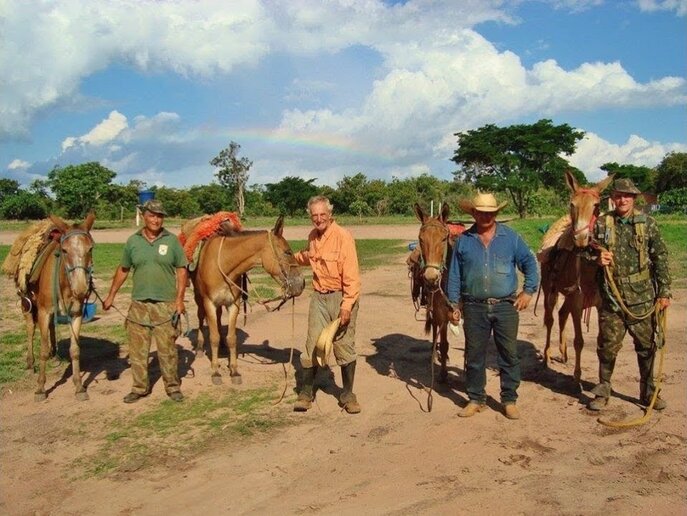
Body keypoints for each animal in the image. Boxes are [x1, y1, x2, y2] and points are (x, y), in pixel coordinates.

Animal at [23, 212, 95, 402]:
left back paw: (54, 356)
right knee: (30, 330)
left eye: (90, 249)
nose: (81, 288)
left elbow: (75, 350)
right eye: (64, 250)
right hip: (27, 306)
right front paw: (40, 388)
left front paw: (79, 387)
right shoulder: (43, 312)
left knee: (51, 328)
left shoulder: (76, 314)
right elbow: (42, 348)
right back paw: (30, 363)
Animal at [189, 216, 306, 384]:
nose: (301, 283)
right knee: (200, 317)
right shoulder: (209, 303)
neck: (224, 264)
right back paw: (199, 347)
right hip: (199, 296)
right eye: (287, 252)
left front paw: (234, 371)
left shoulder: (234, 304)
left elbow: (232, 338)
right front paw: (215, 372)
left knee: (218, 318)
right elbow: (214, 337)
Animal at [540, 171, 616, 384]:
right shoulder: (577, 300)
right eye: (572, 204)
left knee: (561, 314)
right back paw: (547, 357)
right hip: (551, 290)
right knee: (550, 318)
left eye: (596, 205)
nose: (581, 239)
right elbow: (580, 341)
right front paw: (576, 377)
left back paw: (563, 353)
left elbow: (600, 342)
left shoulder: (599, 303)